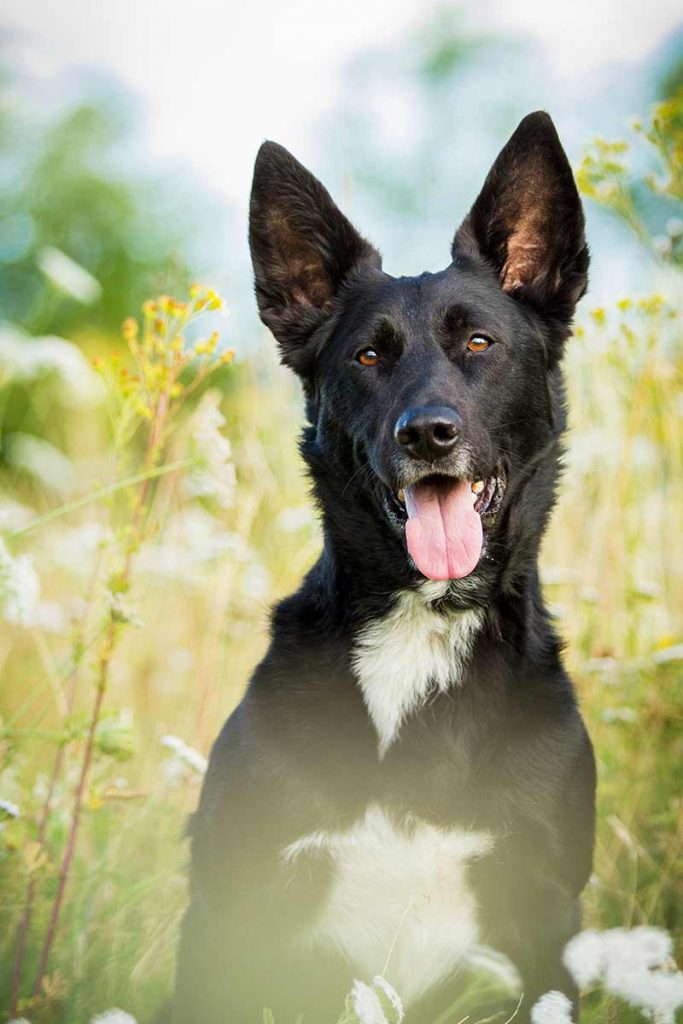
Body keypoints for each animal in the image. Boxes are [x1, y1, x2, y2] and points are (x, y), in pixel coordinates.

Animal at [174, 112, 593, 1024]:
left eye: (478, 341)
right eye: (367, 357)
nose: (427, 432)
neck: (421, 628)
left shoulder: (546, 916)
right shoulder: (231, 911)